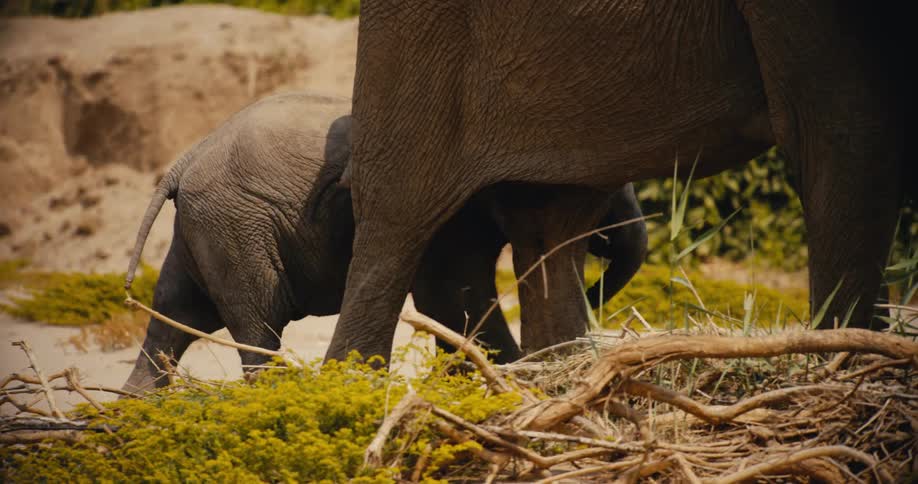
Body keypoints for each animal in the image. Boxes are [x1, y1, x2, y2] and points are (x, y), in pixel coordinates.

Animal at [121, 92, 648, 392]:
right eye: (603, 196)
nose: (596, 293)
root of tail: (185, 160)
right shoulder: (452, 212)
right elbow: (451, 294)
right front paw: (511, 377)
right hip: (237, 226)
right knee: (259, 317)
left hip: (203, 228)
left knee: (174, 313)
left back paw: (133, 409)